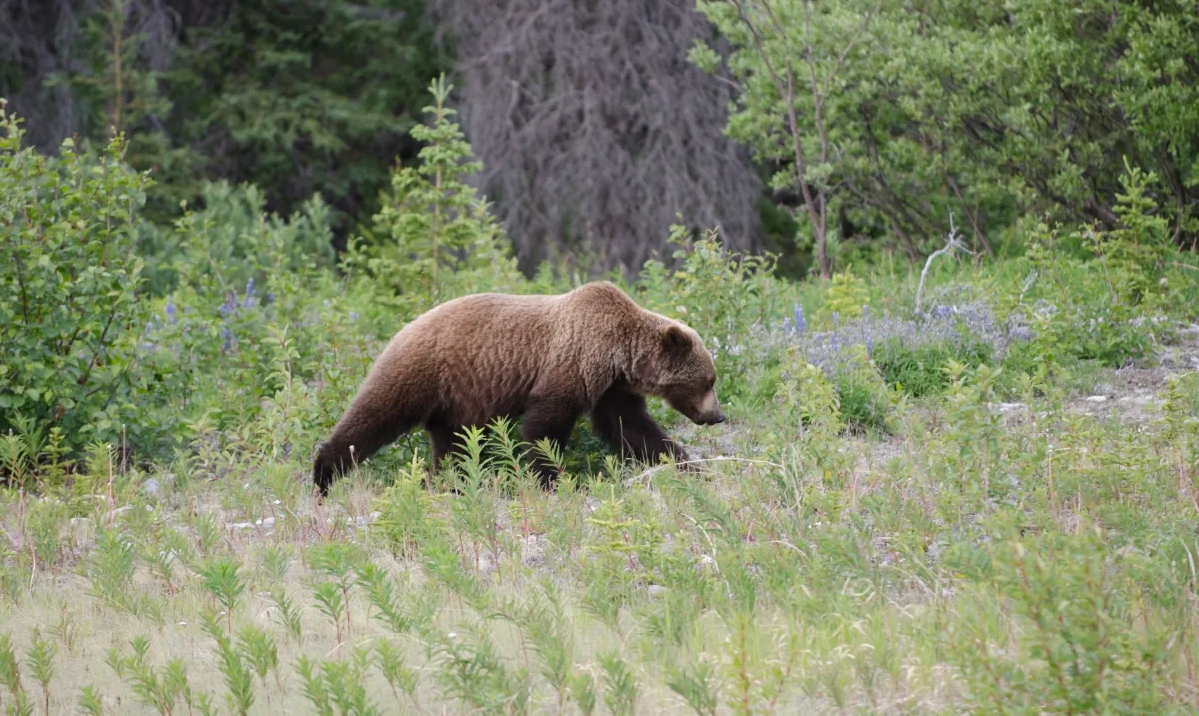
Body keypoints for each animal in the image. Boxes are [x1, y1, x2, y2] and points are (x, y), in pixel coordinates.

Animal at [311, 281, 719, 494]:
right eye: (709, 380)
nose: (717, 415)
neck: (619, 355)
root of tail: (402, 328)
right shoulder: (571, 363)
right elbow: (544, 426)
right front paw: (552, 479)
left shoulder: (611, 388)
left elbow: (631, 428)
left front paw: (690, 466)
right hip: (418, 372)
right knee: (374, 417)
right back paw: (323, 476)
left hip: (455, 402)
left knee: (453, 446)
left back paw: (451, 482)